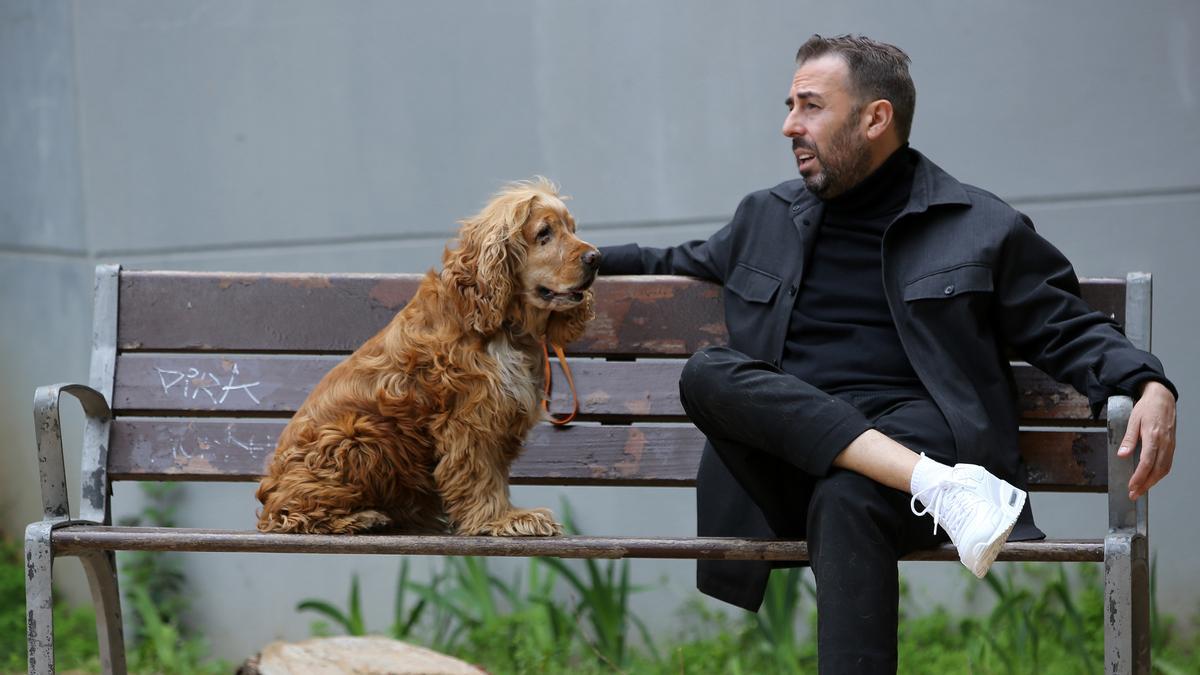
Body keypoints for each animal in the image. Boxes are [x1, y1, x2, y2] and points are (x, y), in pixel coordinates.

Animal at [260, 178, 600, 535]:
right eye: (544, 233)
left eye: (572, 228)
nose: (597, 258)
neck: (503, 325)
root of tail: (271, 491)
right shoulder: (469, 415)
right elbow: (480, 473)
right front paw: (501, 519)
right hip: (356, 433)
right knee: (292, 514)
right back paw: (361, 517)